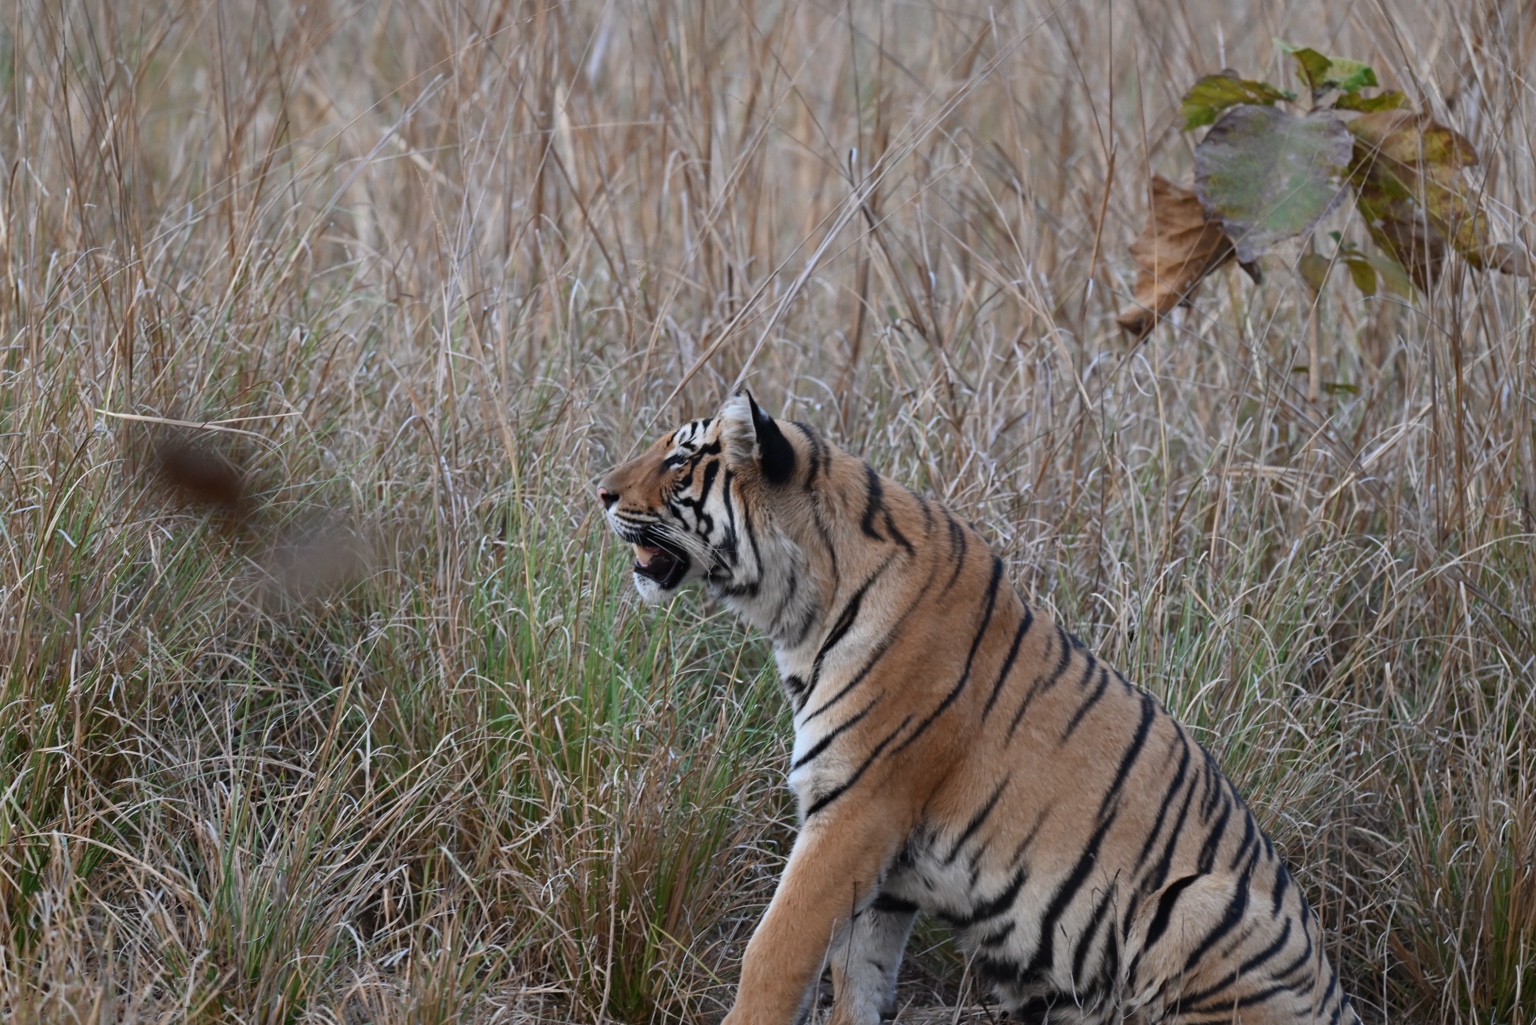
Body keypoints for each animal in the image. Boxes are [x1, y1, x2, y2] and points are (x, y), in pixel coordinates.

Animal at [597, 391, 1361, 1025]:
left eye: (678, 459)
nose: (599, 491)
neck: (799, 611)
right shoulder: (887, 865)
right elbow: (857, 978)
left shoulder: (855, 809)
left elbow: (775, 954)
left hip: (1194, 903)